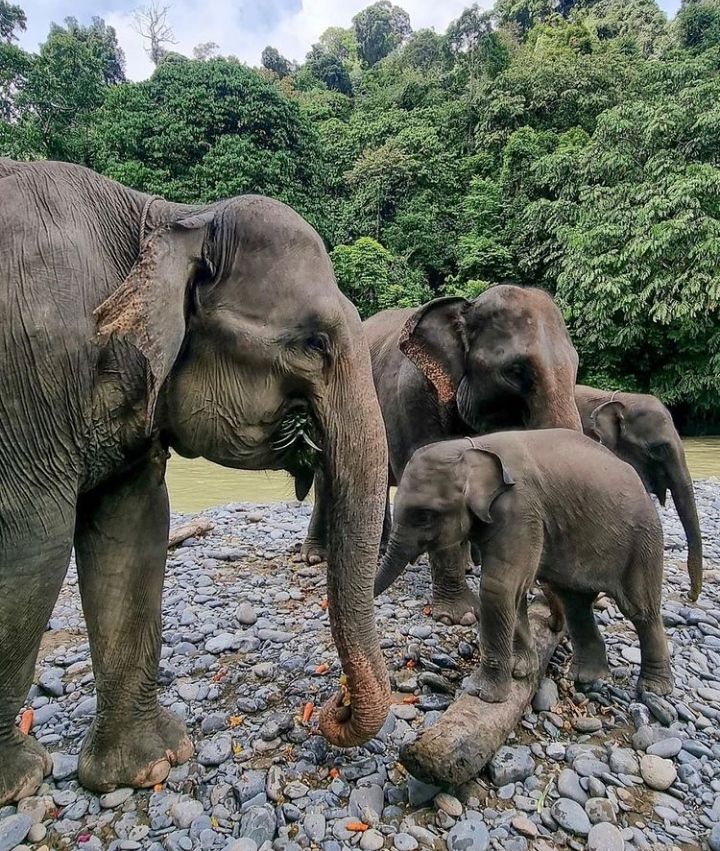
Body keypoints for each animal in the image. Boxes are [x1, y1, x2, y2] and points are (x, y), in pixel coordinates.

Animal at [0, 160, 390, 804]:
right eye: (313, 344)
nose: (329, 707)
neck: (167, 217)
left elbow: (134, 531)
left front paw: (147, 768)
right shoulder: (30, 379)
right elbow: (34, 543)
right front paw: (19, 783)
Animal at [300, 286, 584, 624]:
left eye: (577, 365)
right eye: (516, 371)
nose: (551, 621)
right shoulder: (410, 401)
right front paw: (461, 616)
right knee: (326, 478)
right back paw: (315, 555)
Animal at [376, 430, 676, 704]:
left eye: (424, 515)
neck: (470, 445)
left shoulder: (520, 510)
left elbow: (498, 588)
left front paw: (482, 693)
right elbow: (513, 591)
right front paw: (521, 670)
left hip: (643, 541)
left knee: (641, 611)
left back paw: (653, 689)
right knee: (575, 603)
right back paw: (586, 677)